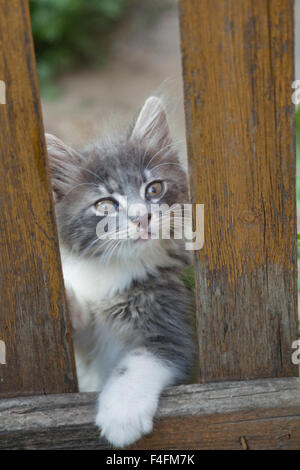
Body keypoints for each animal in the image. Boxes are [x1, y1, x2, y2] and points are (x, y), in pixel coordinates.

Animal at [46, 96, 197, 448]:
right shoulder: (86, 359)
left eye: (153, 189)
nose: (142, 217)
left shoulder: (174, 321)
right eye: (105, 205)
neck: (118, 269)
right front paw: (69, 300)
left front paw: (121, 413)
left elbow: (140, 361)